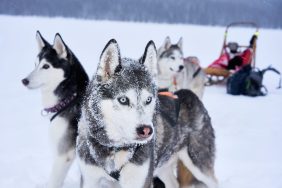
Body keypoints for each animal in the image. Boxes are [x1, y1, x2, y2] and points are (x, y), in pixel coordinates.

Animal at [21, 30, 88, 188]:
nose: (24, 81)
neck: (71, 99)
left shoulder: (64, 155)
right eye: (35, 64)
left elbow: (53, 182)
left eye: (46, 66)